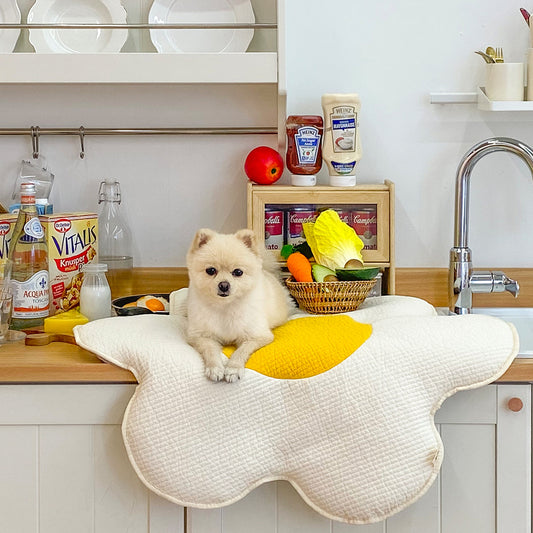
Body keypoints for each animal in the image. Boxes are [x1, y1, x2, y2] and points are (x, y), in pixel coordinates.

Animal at [185, 229, 294, 382]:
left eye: (238, 272)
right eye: (211, 270)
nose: (224, 285)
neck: (225, 307)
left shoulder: (256, 336)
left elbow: (241, 351)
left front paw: (233, 369)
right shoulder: (201, 336)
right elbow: (210, 350)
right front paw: (215, 368)